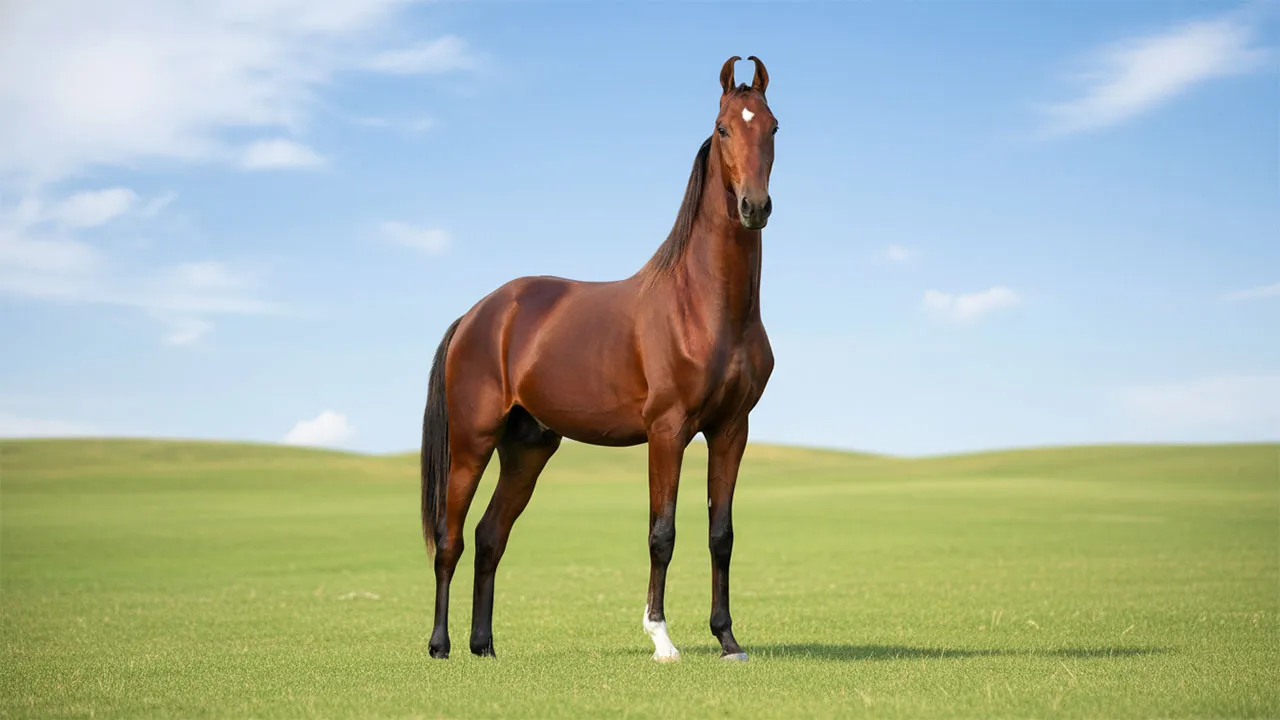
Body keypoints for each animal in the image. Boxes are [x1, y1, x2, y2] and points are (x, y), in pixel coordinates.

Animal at [419, 55, 778, 662]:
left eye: (774, 127)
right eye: (724, 128)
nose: (754, 207)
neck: (703, 305)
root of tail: (476, 315)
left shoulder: (732, 429)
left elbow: (721, 535)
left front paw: (728, 639)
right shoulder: (667, 431)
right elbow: (663, 532)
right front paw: (661, 638)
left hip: (527, 448)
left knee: (491, 536)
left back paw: (483, 645)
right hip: (472, 441)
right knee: (451, 536)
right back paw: (441, 645)